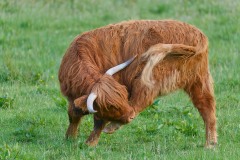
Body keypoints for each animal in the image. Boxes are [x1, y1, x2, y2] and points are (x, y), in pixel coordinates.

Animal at [58, 19, 218, 148]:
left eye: (124, 96)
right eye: (111, 106)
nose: (129, 116)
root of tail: (199, 36)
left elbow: (98, 121)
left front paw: (88, 144)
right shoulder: (73, 98)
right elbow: (73, 114)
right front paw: (70, 138)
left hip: (148, 79)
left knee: (139, 102)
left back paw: (112, 127)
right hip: (199, 80)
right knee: (207, 108)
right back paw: (210, 144)